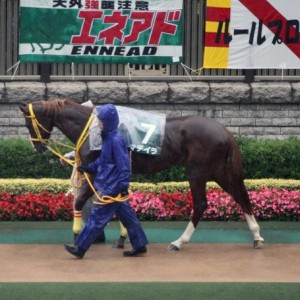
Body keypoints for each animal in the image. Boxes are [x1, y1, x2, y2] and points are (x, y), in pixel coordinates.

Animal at [18, 99, 264, 251]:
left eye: (28, 121)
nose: (37, 147)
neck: (93, 128)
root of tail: (224, 130)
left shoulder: (97, 173)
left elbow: (82, 202)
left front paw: (77, 237)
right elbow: (115, 203)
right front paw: (122, 239)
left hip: (197, 172)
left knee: (202, 203)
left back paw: (179, 242)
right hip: (219, 171)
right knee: (241, 196)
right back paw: (257, 237)